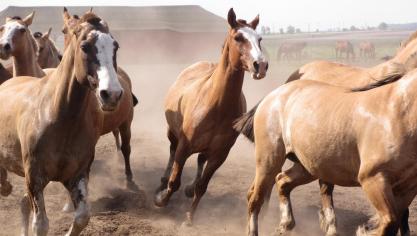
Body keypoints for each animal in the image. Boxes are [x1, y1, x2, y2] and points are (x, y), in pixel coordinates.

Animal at [0, 12, 123, 236]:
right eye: (85, 46)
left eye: (115, 46)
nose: (112, 94)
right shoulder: (34, 178)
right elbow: (40, 224)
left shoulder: (77, 175)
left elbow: (82, 217)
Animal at [153, 7, 266, 225]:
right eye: (238, 37)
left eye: (260, 38)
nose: (261, 65)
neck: (217, 105)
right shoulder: (184, 146)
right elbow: (175, 180)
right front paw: (161, 199)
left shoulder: (219, 155)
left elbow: (202, 187)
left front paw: (189, 218)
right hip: (173, 133)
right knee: (171, 152)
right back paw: (162, 182)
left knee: (200, 160)